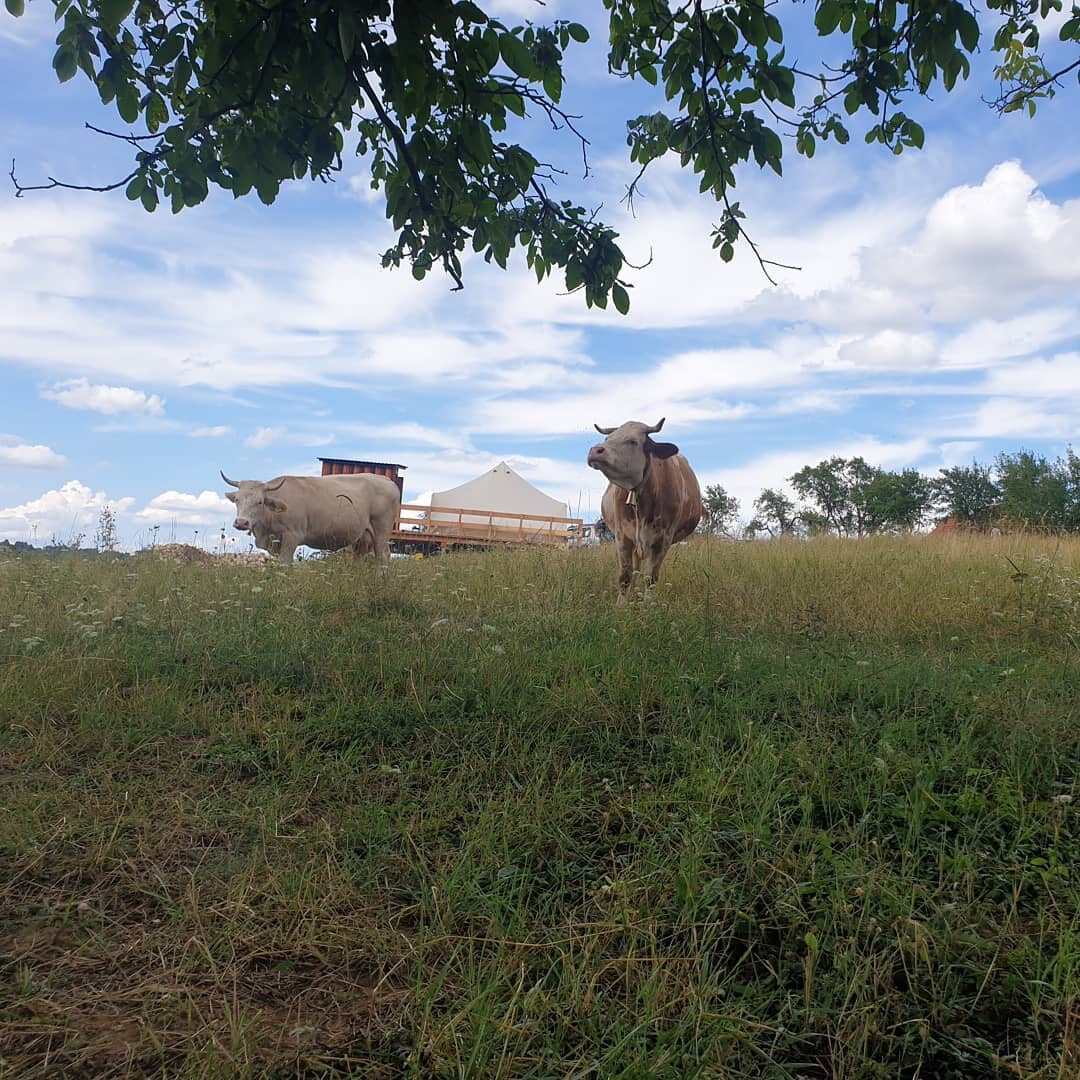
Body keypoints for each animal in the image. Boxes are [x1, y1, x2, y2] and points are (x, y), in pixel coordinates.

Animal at [587, 416, 704, 600]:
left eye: (633, 441)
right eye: (607, 439)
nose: (595, 450)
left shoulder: (664, 540)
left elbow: (651, 578)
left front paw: (648, 604)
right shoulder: (622, 536)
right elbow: (625, 576)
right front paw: (621, 604)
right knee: (634, 571)